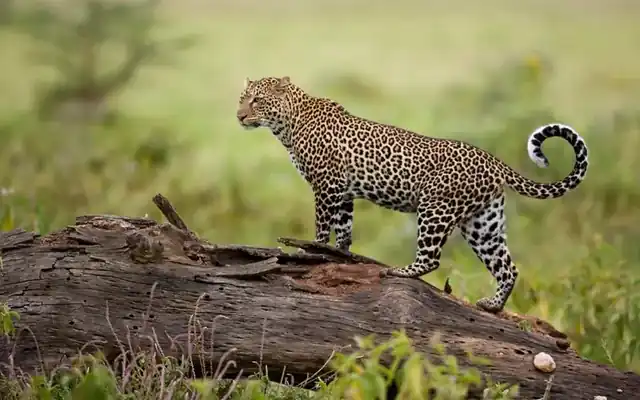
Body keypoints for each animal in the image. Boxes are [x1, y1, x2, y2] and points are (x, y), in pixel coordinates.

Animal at [236, 75, 589, 313]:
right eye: (242, 98)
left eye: (257, 101)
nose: (240, 116)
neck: (287, 124)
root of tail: (493, 161)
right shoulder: (343, 192)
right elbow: (344, 229)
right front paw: (339, 254)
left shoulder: (326, 186)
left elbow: (323, 226)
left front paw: (310, 251)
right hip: (483, 224)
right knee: (507, 267)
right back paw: (492, 305)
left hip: (435, 209)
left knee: (431, 258)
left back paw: (400, 271)